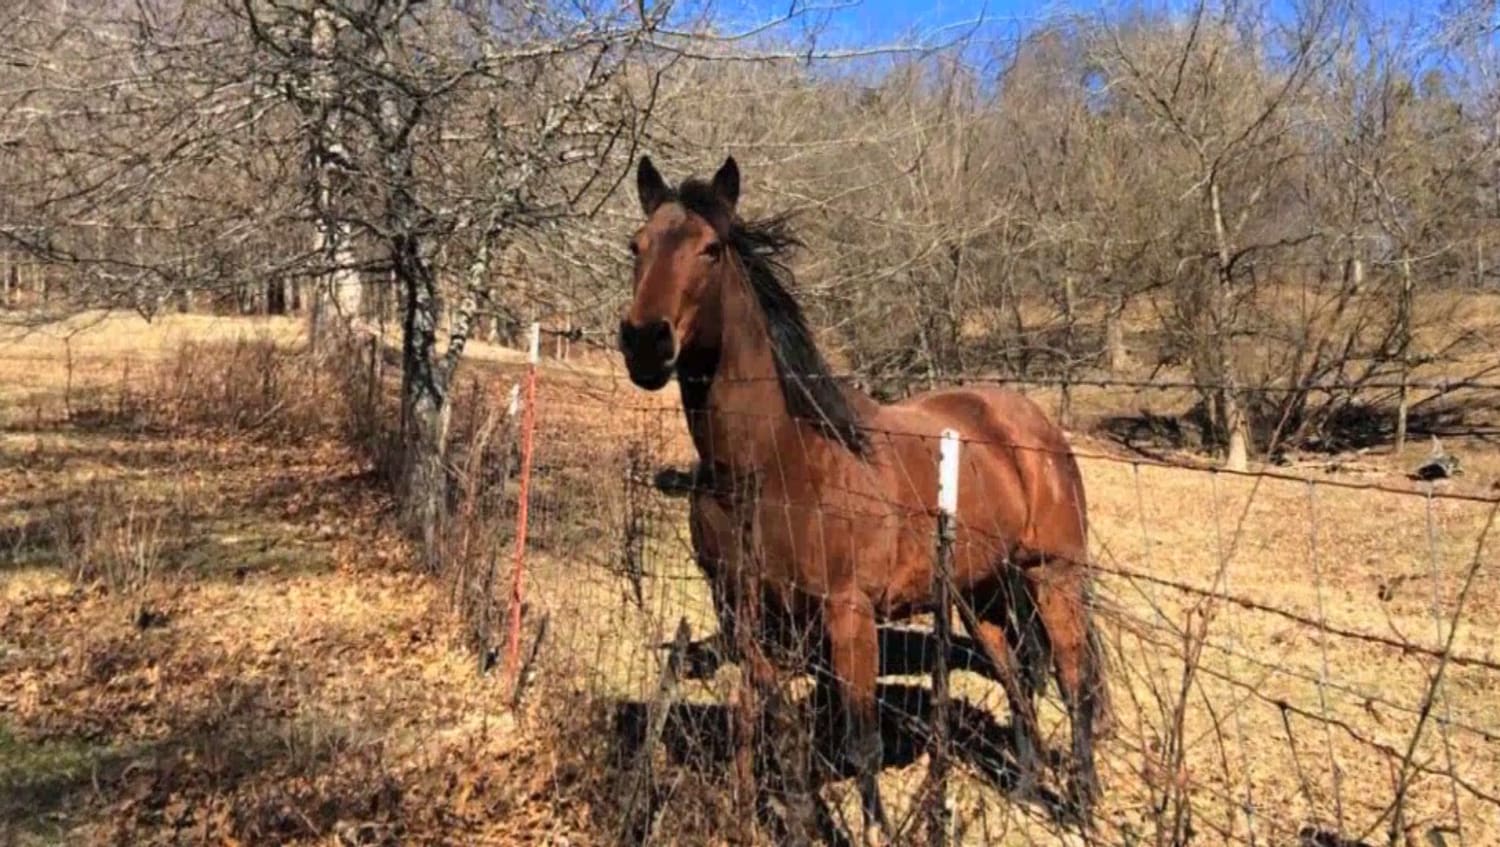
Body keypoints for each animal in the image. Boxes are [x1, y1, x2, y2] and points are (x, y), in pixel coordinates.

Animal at [615, 153, 1110, 839]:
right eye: (635, 246)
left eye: (711, 249)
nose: (645, 343)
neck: (772, 467)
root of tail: (1035, 427)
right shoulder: (749, 620)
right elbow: (776, 727)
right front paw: (792, 820)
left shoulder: (850, 617)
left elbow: (861, 743)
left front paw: (869, 827)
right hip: (980, 594)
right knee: (1017, 676)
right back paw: (1028, 788)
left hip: (1054, 575)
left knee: (1073, 680)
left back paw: (1082, 805)